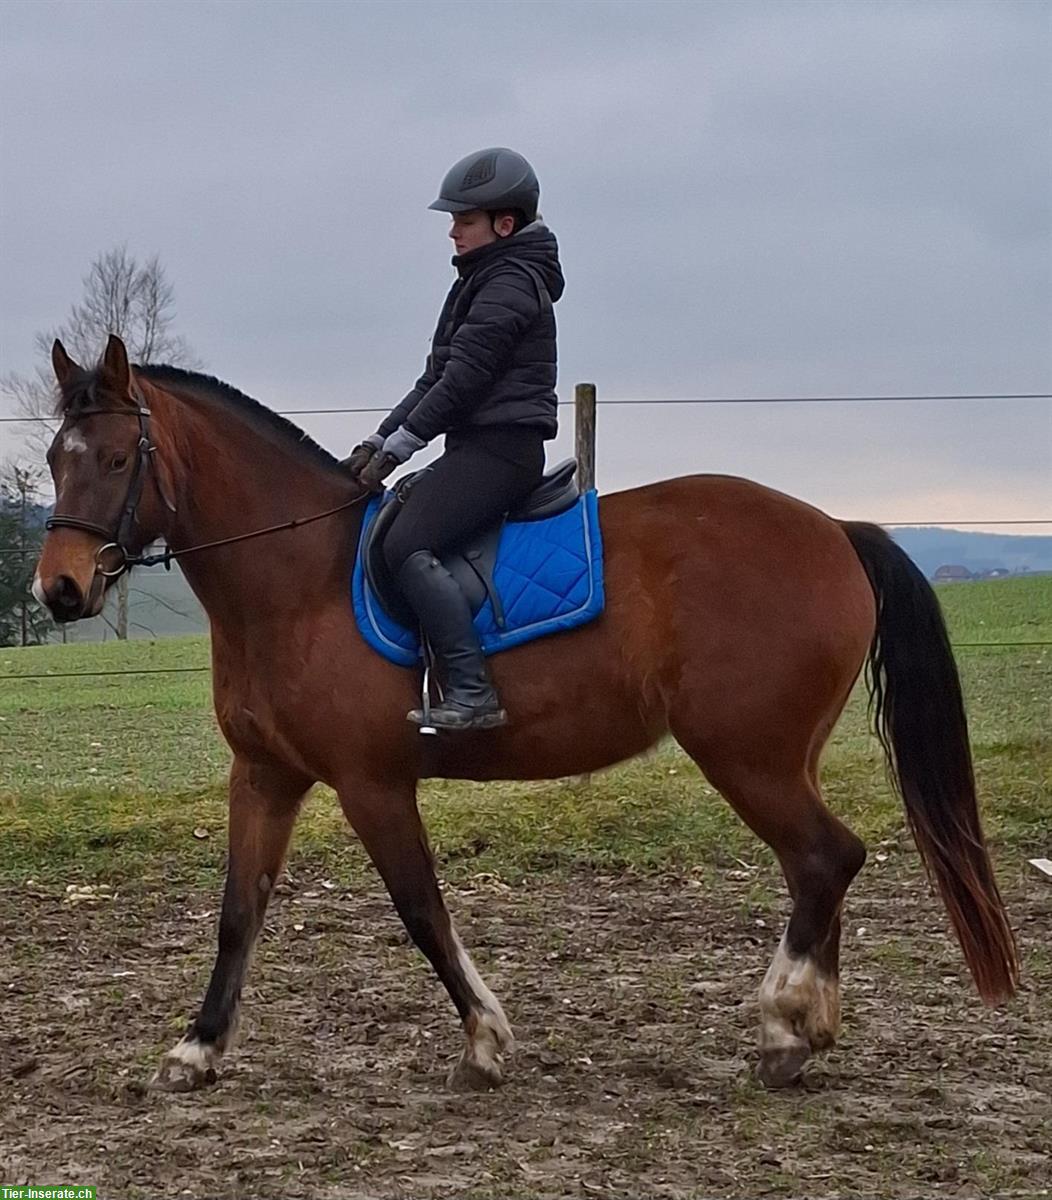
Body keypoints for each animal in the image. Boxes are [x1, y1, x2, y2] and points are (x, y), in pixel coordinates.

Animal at [34, 338, 1017, 1099]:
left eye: (117, 459)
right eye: (54, 458)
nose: (61, 590)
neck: (297, 577)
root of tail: (836, 529)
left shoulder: (370, 782)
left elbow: (422, 910)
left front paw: (484, 1043)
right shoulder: (266, 774)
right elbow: (240, 910)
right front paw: (195, 1051)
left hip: (748, 756)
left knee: (826, 858)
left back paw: (783, 1027)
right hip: (780, 757)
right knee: (820, 867)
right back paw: (805, 1029)